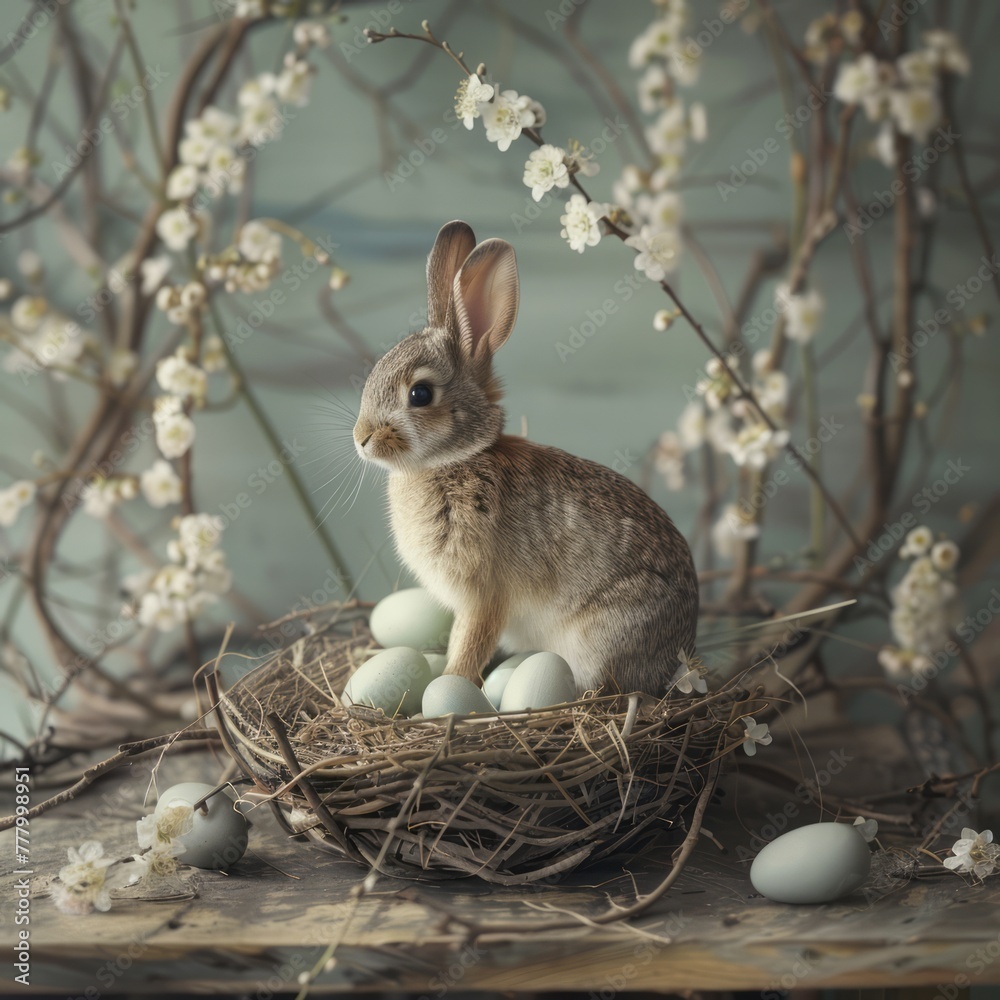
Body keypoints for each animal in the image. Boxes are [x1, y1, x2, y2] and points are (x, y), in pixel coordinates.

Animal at [353, 220, 699, 697]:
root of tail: (682, 654)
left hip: (603, 638)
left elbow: (469, 643)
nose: (361, 438)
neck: (454, 460)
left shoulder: (483, 596)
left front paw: (449, 684)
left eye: (420, 394)